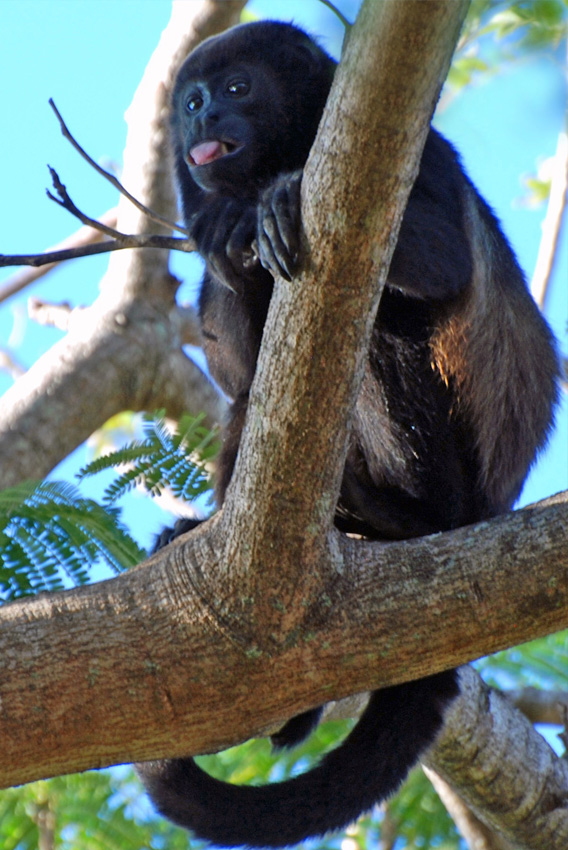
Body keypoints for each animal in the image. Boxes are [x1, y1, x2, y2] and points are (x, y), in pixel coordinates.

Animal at [136, 20, 559, 849]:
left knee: (380, 326)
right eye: (192, 101)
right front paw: (228, 226)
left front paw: (271, 200)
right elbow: (231, 360)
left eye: (236, 88)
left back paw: (394, 515)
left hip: (450, 480)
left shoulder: (419, 153)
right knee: (248, 400)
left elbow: (441, 261)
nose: (203, 119)